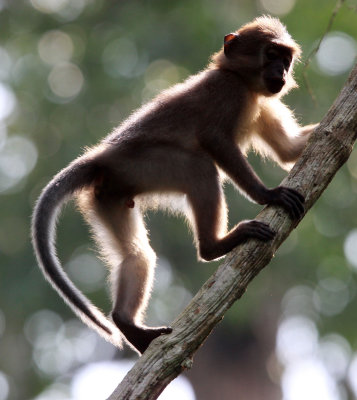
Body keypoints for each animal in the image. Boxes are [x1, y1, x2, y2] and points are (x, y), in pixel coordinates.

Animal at [32, 15, 318, 354]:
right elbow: (215, 140)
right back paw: (213, 246)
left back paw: (127, 322)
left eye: (286, 59)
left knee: (136, 255)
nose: (282, 73)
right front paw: (268, 195)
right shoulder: (229, 92)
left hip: (109, 195)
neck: (241, 81)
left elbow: (290, 151)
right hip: (144, 165)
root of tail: (101, 157)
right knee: (200, 168)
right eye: (271, 54)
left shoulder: (263, 104)